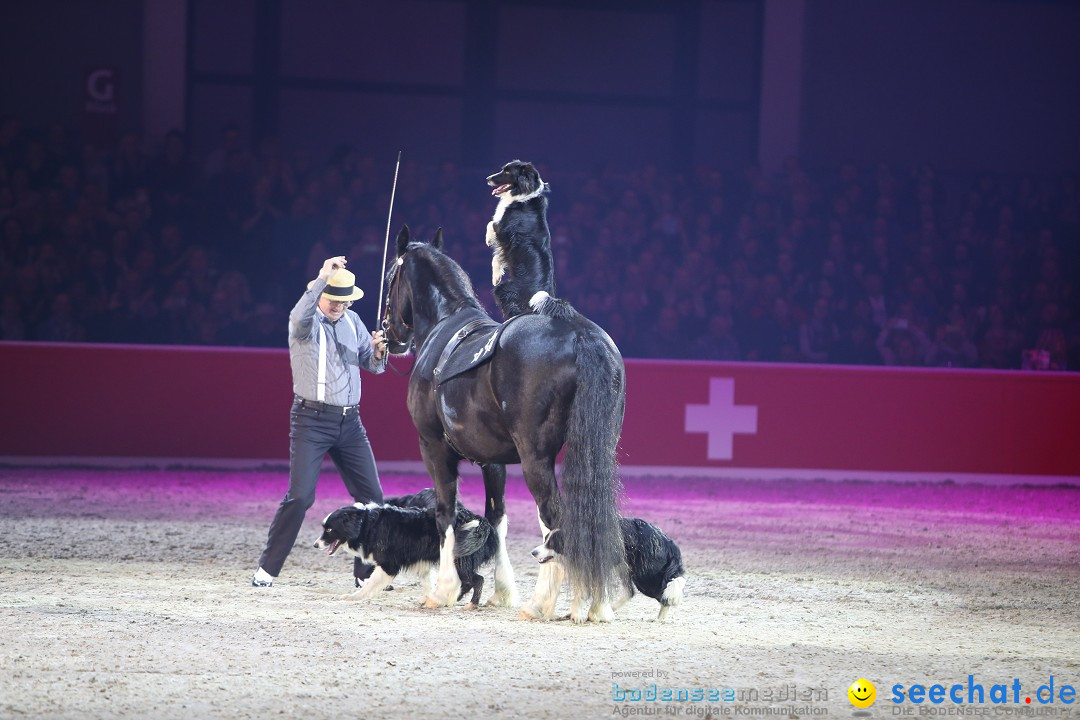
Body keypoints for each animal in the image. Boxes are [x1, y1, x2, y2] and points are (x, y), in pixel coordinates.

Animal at [313, 492, 496, 604]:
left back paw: (471, 604)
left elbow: (370, 584)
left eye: (329, 530)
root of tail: (480, 520)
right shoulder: (422, 562)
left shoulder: (388, 565)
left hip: (459, 561)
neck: (366, 524)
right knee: (468, 582)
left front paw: (354, 597)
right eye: (324, 528)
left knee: (477, 580)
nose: (315, 545)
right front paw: (429, 599)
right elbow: (428, 583)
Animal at [386, 227, 626, 621]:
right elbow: (496, 518)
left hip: (535, 459)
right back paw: (593, 604)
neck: (443, 326)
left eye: (391, 276)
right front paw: (501, 592)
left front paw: (444, 591)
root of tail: (578, 332)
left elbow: (445, 513)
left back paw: (544, 602)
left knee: (555, 518)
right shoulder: (492, 459)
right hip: (598, 451)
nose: (389, 335)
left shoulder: (432, 447)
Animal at [488, 158, 561, 319]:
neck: (524, 195)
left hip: (506, 289)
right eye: (503, 169)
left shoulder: (505, 232)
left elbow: (491, 224)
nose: (487, 178)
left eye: (507, 172)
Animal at [529, 515, 682, 621]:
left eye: (553, 544)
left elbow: (584, 594)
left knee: (664, 594)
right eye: (545, 540)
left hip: (645, 577)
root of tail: (669, 542)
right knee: (630, 592)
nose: (533, 552)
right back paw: (611, 609)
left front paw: (578, 615)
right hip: (624, 568)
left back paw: (660, 619)